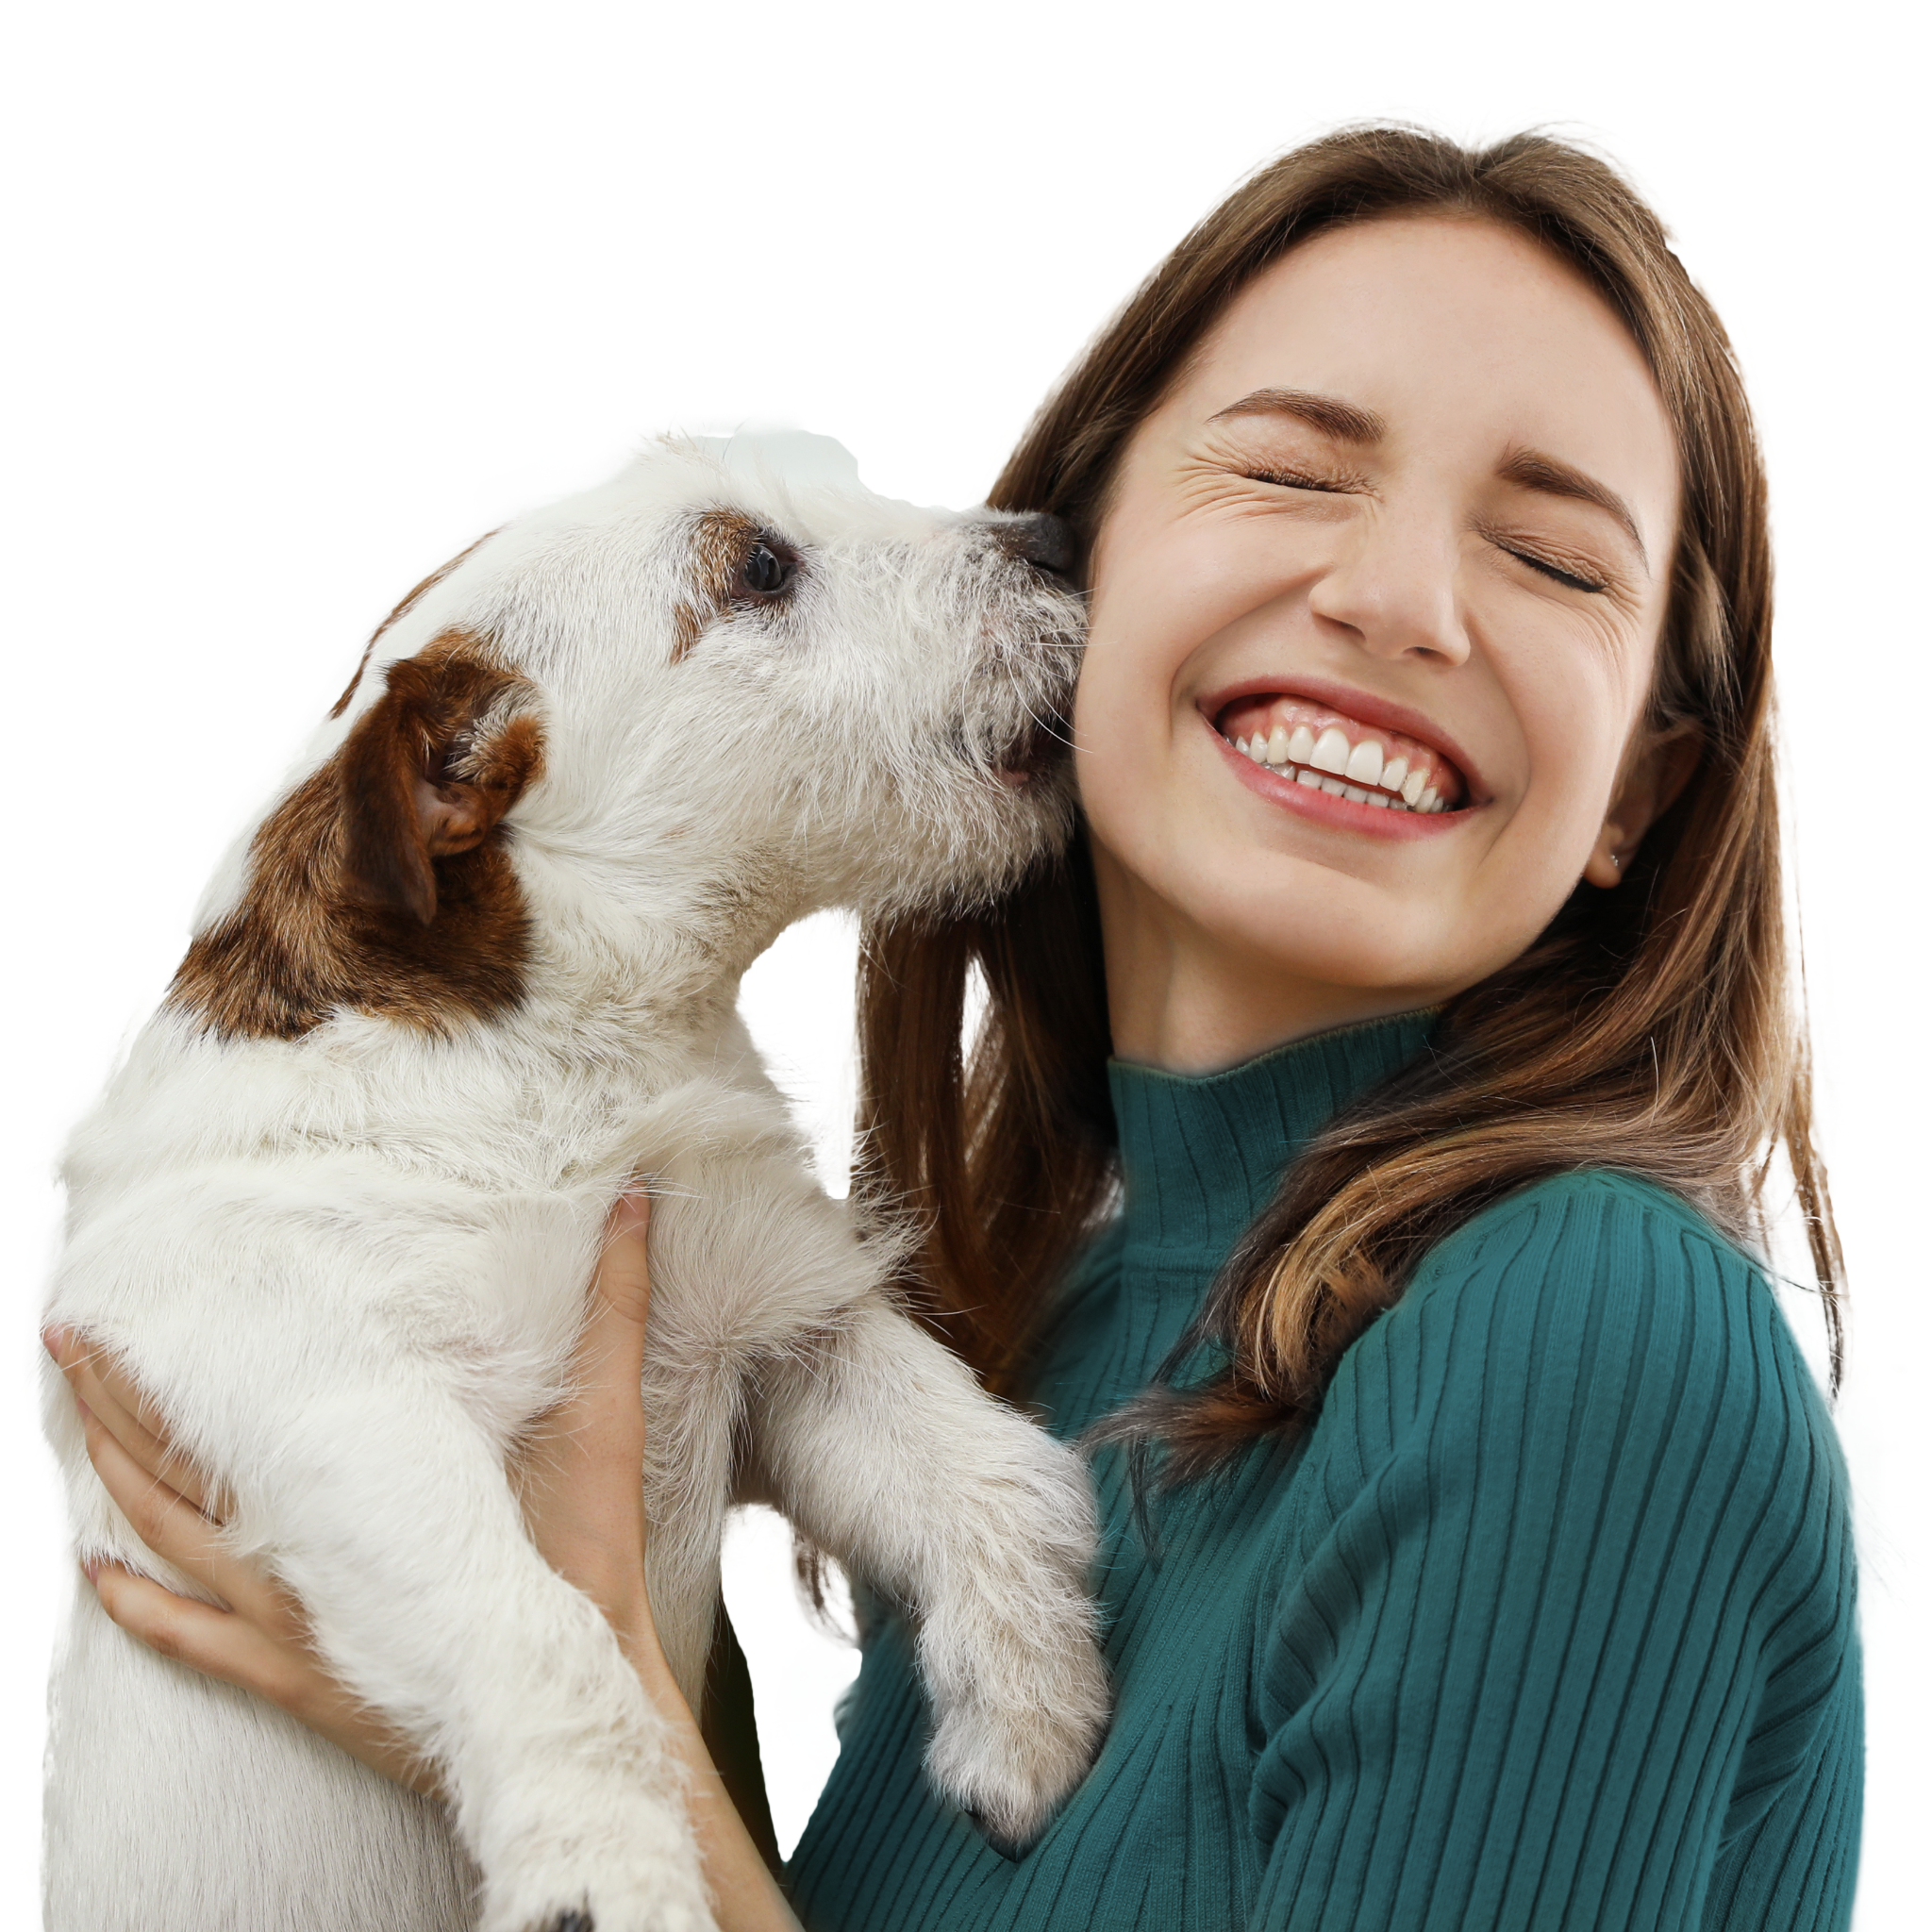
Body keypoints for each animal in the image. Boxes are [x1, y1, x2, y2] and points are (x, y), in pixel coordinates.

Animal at [37, 438, 1112, 1932]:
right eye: (758, 566)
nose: (1060, 537)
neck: (569, 1066)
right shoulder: (331, 1395)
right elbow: (539, 1632)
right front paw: (607, 1864)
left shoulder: (781, 1336)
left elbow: (997, 1478)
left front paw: (1026, 1716)